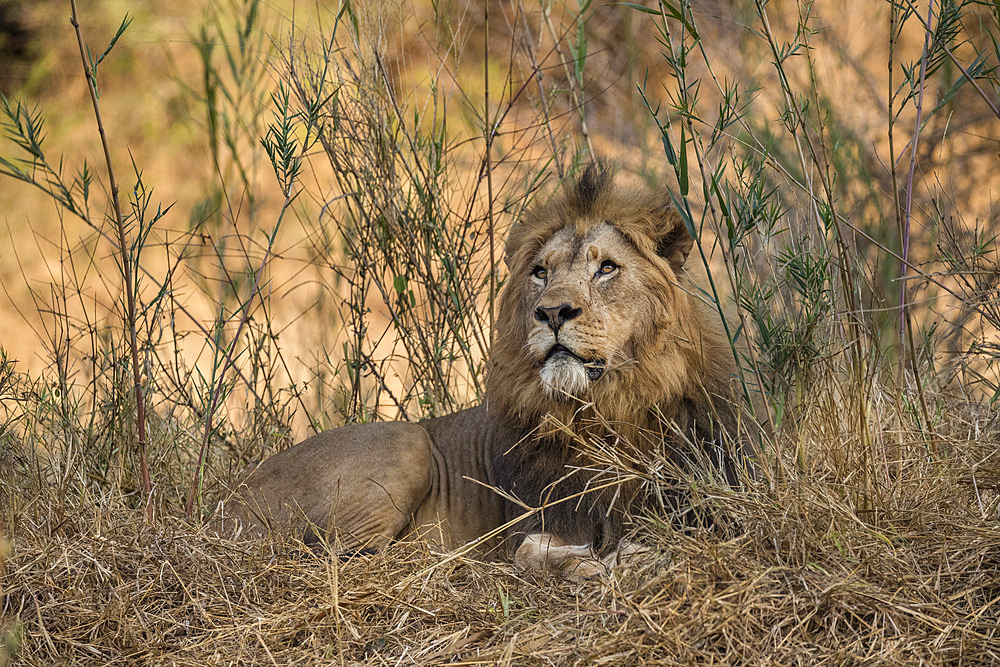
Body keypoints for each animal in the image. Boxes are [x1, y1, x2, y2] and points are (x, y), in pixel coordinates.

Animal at [221, 162, 752, 580]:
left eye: (606, 268)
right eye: (540, 272)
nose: (552, 312)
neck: (604, 410)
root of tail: (224, 505)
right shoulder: (536, 521)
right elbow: (531, 553)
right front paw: (591, 561)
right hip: (406, 441)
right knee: (343, 559)